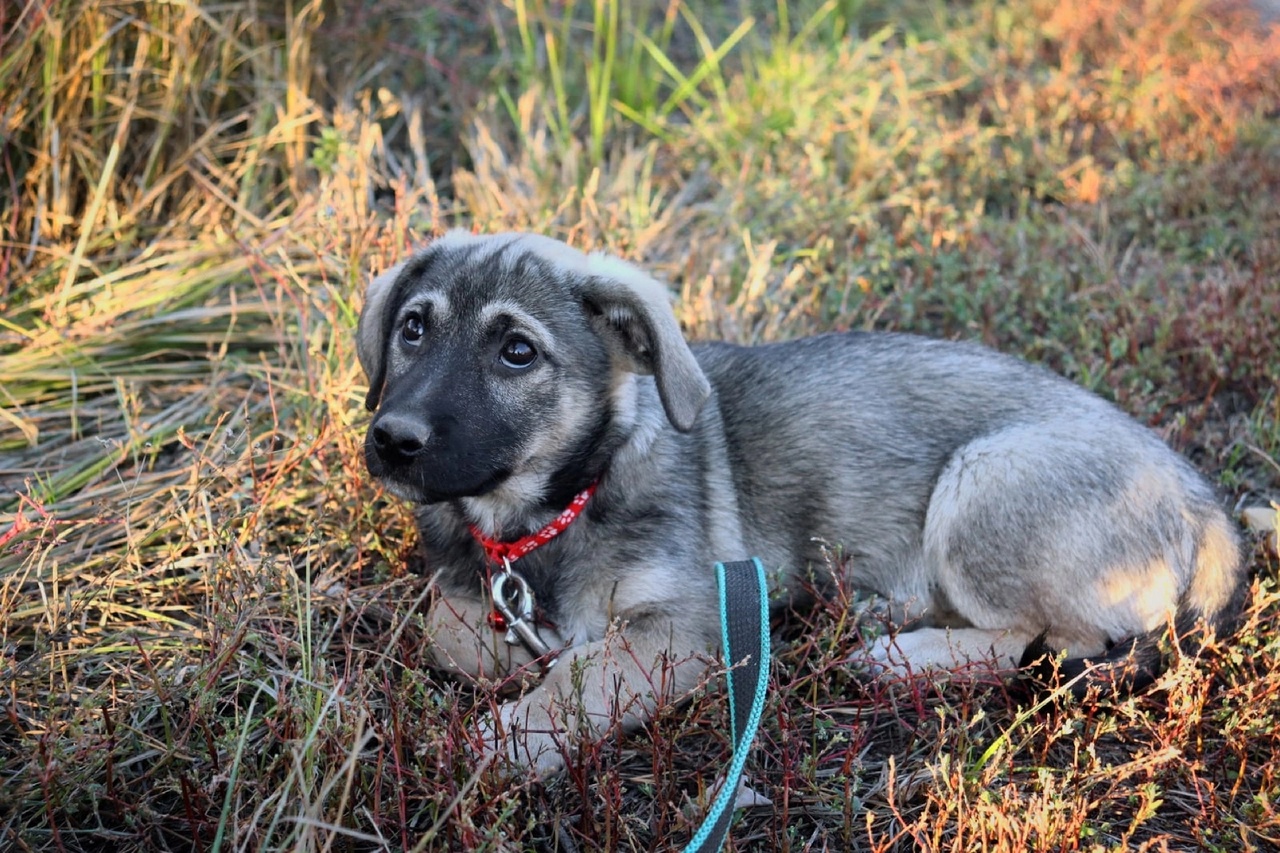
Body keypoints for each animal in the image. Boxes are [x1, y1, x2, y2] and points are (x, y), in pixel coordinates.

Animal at [355, 229, 1244, 773]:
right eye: (413, 328)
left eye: (517, 351)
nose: (392, 438)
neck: (544, 518)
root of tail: (1207, 510)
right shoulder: (472, 586)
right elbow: (449, 628)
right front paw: (512, 656)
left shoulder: (687, 626)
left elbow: (584, 682)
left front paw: (511, 732)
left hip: (986, 476)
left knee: (1027, 637)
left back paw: (904, 656)